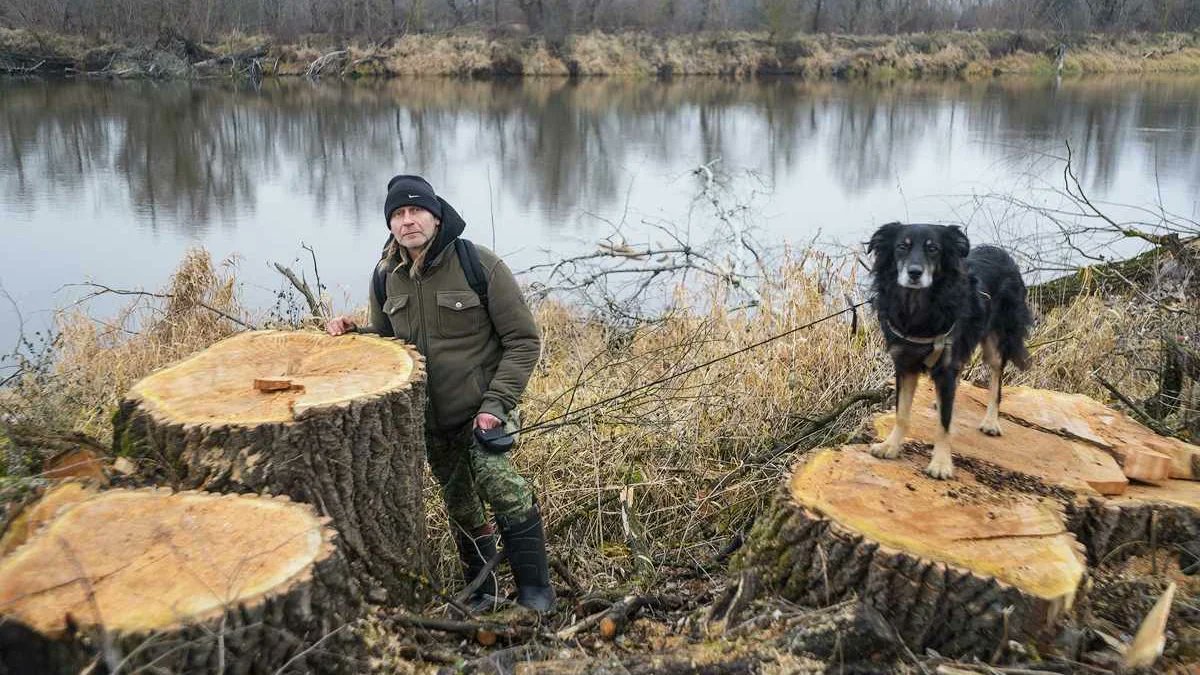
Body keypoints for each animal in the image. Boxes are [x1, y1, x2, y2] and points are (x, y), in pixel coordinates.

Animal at [868, 223, 1036, 475]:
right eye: (901, 247)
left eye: (933, 249)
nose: (914, 273)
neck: (920, 307)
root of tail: (1000, 252)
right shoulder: (905, 364)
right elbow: (902, 413)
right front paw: (890, 445)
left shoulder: (946, 365)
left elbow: (944, 423)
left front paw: (940, 463)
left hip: (995, 343)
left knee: (996, 380)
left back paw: (991, 421)